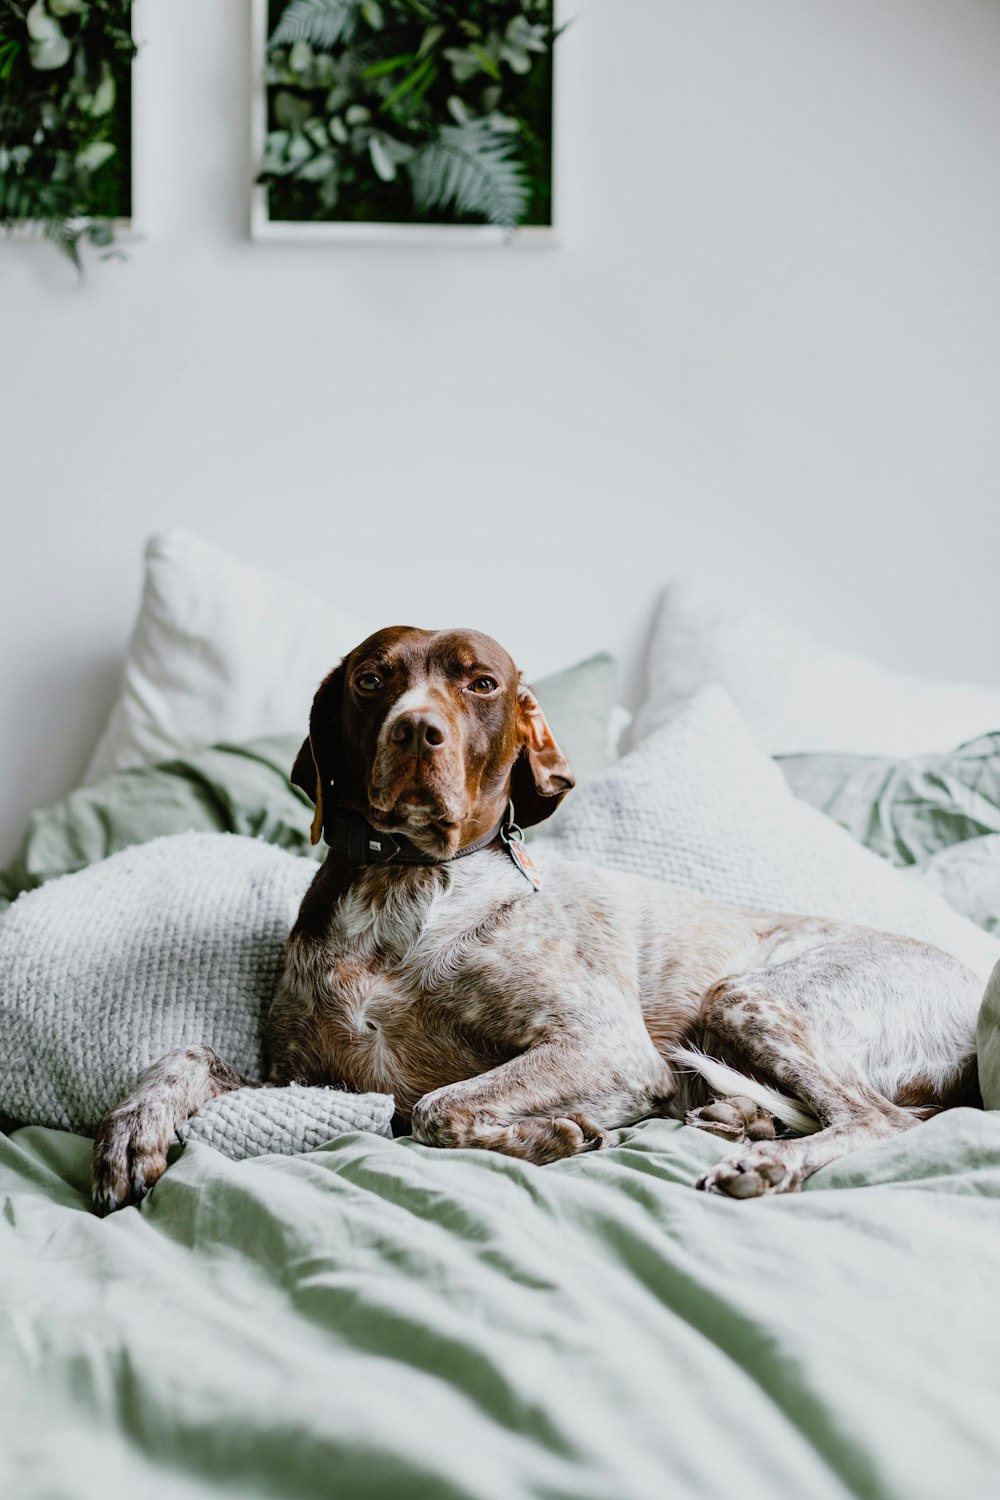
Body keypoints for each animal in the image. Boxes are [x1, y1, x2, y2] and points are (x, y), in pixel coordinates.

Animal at [93, 627, 983, 1212]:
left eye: (481, 683)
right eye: (371, 680)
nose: (418, 732)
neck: (406, 885)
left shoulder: (606, 1046)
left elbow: (433, 1106)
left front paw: (555, 1133)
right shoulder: (299, 1078)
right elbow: (188, 1055)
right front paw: (132, 1132)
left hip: (749, 997)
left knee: (878, 1119)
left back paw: (766, 1163)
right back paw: (744, 1119)